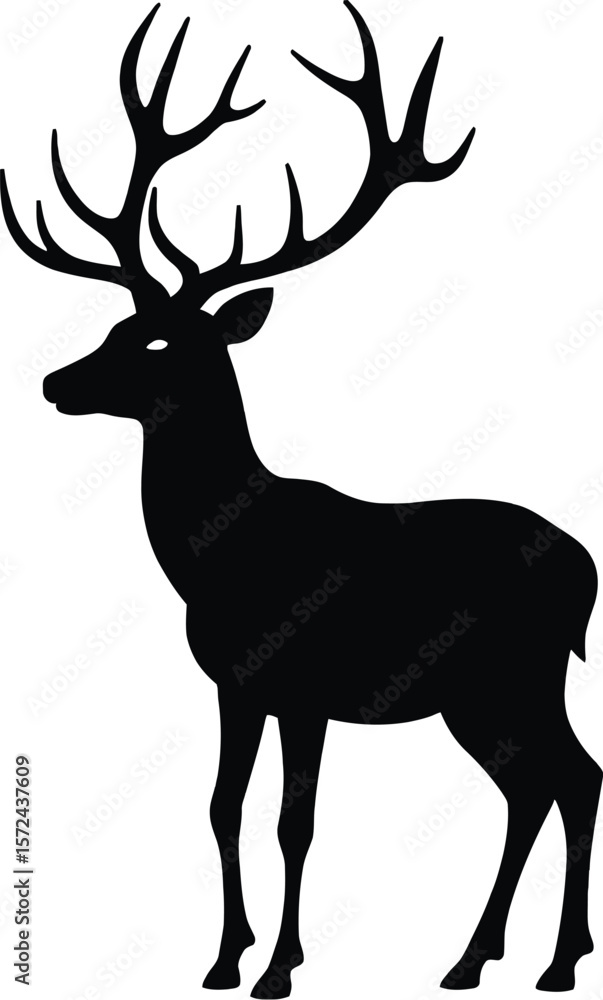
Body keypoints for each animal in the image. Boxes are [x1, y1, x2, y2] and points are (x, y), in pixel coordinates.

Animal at [2, 2, 601, 996]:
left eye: (157, 343)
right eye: (116, 325)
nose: (54, 381)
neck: (217, 556)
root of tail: (585, 567)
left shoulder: (305, 684)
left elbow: (296, 821)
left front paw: (280, 966)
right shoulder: (233, 684)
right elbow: (221, 806)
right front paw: (222, 958)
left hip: (516, 670)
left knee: (570, 778)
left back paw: (547, 961)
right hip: (481, 694)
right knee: (538, 785)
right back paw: (481, 957)